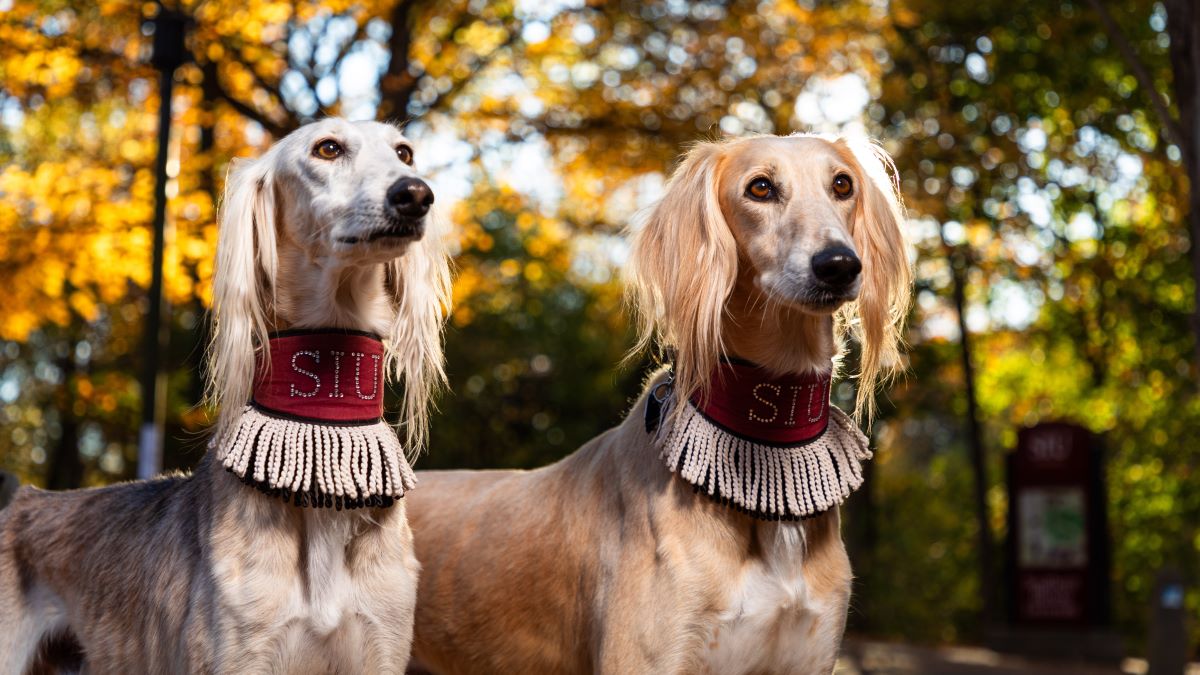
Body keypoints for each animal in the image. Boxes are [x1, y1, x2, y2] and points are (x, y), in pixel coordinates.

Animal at [0, 118, 451, 667]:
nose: (416, 194)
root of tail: (23, 500)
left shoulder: (381, 647)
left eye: (404, 152)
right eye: (327, 148)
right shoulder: (239, 651)